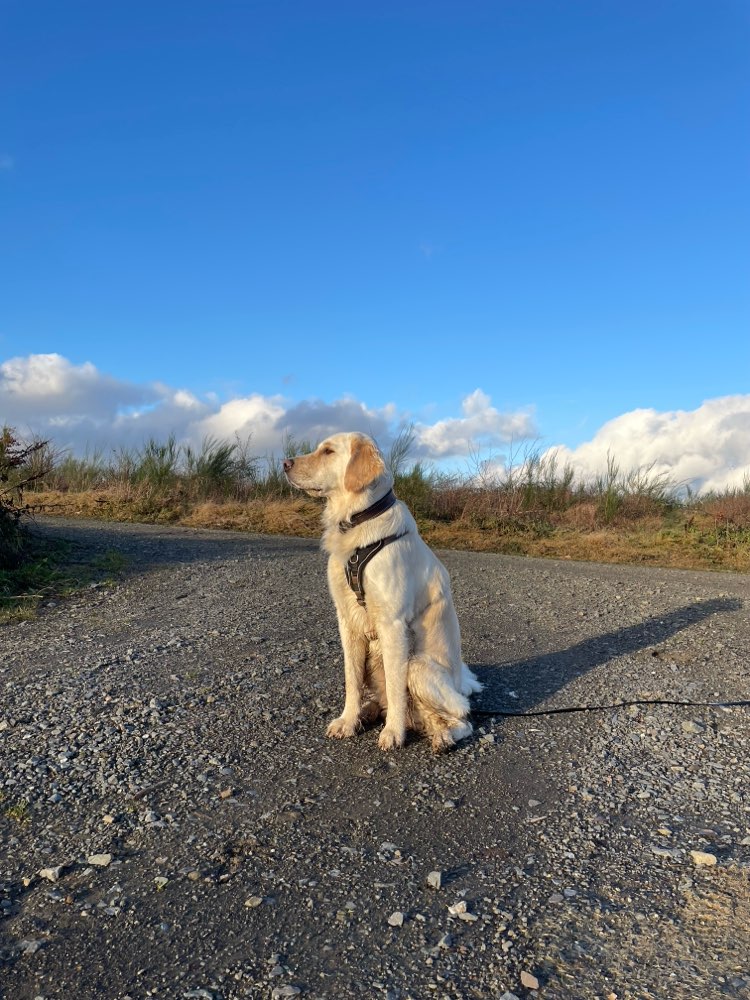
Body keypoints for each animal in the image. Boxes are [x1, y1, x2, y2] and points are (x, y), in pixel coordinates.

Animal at [282, 430, 482, 752]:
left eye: (328, 451)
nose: (285, 463)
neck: (358, 521)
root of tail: (461, 682)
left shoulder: (393, 624)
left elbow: (396, 687)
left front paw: (393, 733)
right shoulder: (347, 621)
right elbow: (352, 681)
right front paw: (348, 721)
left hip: (418, 667)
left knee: (461, 719)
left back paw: (442, 737)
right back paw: (369, 712)